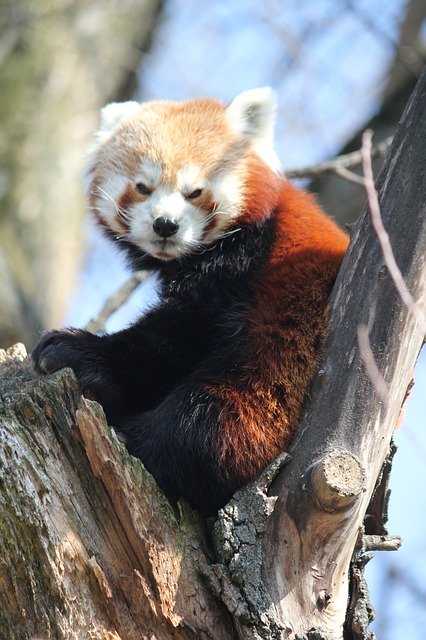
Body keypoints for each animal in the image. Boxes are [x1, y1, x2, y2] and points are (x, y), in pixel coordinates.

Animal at [31, 87, 348, 516]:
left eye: (194, 191)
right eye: (143, 187)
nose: (165, 224)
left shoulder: (247, 258)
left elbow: (175, 334)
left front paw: (78, 351)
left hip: (274, 363)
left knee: (208, 419)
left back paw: (138, 440)